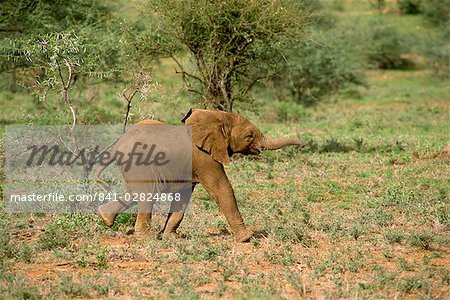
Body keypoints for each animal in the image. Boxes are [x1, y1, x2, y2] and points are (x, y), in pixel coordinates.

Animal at [95, 109, 306, 243]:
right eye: (250, 136)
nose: (304, 145)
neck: (216, 117)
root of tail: (117, 145)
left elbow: (183, 197)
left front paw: (172, 237)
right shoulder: (204, 158)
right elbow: (221, 188)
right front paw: (246, 238)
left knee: (137, 192)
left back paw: (105, 218)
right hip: (140, 164)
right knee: (147, 193)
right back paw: (146, 237)